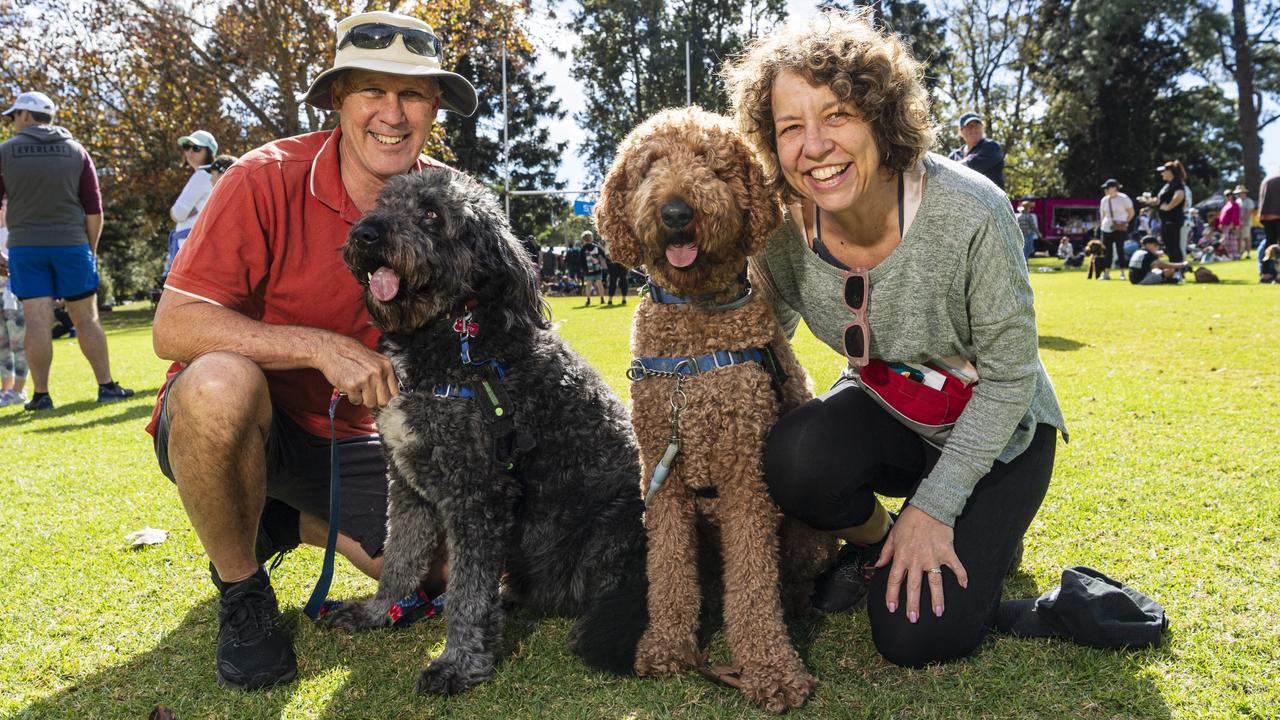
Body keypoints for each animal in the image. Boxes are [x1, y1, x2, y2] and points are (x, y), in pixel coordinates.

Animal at [327, 165, 650, 691]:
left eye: (431, 214)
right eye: (383, 203)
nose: (366, 234)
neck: (447, 340)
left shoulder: (479, 494)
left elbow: (467, 591)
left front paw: (459, 662)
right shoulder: (406, 484)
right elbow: (399, 557)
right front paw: (379, 612)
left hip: (613, 526)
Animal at [593, 109, 834, 707]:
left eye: (712, 165)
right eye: (650, 165)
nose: (676, 212)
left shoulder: (746, 474)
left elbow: (753, 585)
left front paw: (772, 669)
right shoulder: (661, 475)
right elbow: (668, 570)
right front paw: (667, 647)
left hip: (809, 535)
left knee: (788, 578)